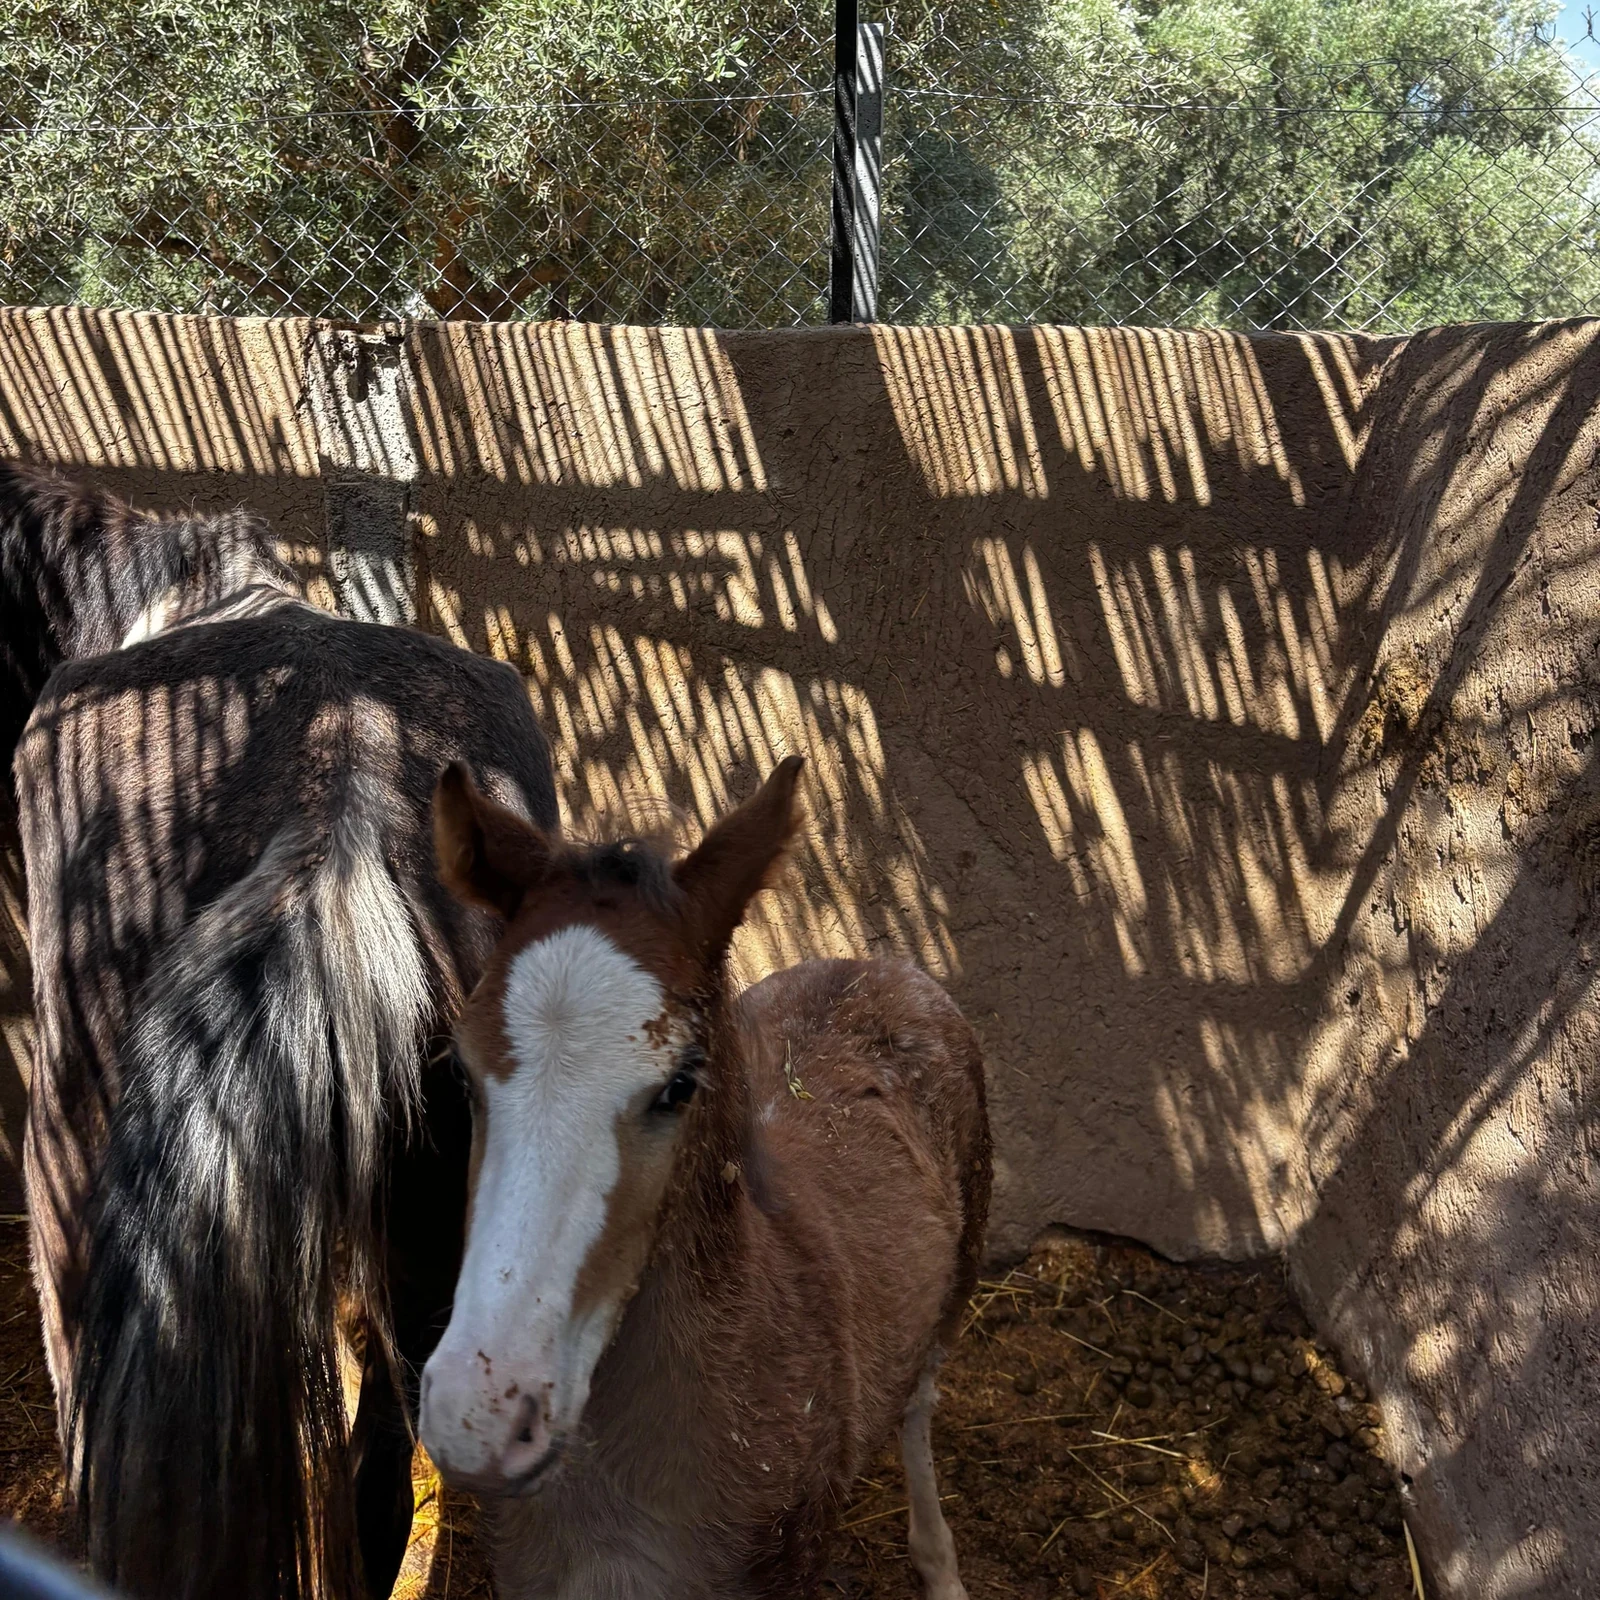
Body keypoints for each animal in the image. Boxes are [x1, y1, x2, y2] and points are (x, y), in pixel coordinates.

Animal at [418, 753, 992, 1599]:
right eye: (461, 1068)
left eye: (680, 1085)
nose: (480, 1416)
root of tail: (880, 965)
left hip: (956, 1286)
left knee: (919, 1407)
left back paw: (939, 1563)